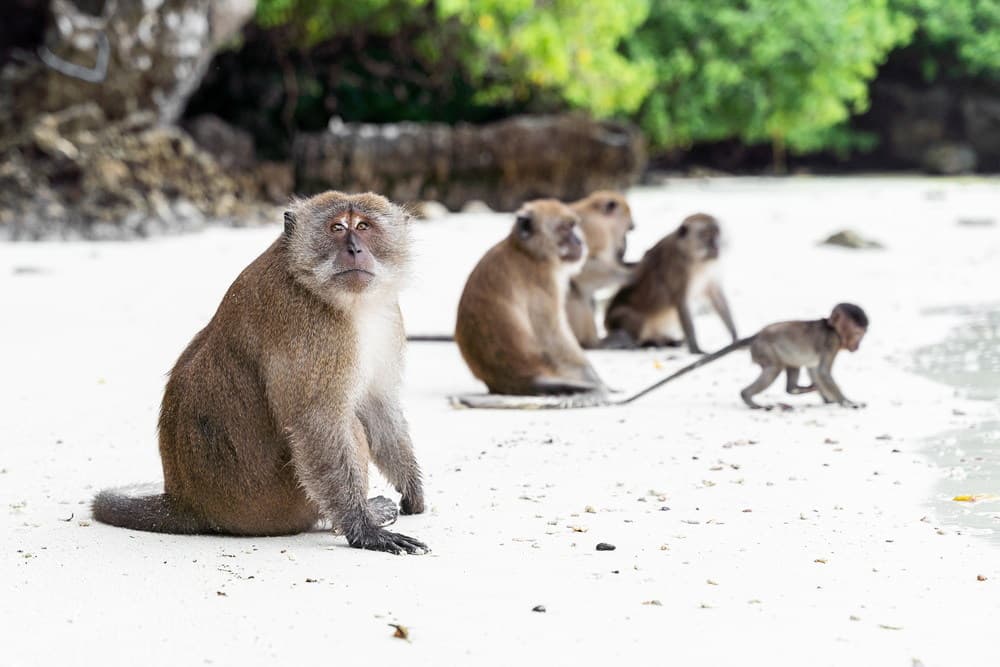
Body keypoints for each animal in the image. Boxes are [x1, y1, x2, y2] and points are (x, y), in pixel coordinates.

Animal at [92, 191, 428, 555]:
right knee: (343, 427)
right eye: (337, 227)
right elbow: (316, 422)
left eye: (363, 226)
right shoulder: (312, 327)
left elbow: (378, 401)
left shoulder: (387, 314)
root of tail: (187, 502)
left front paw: (412, 489)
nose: (354, 249)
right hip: (272, 503)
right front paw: (363, 528)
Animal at [453, 199, 607, 398]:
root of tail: (524, 378)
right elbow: (552, 336)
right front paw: (597, 381)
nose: (579, 241)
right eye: (564, 228)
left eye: (573, 226)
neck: (528, 252)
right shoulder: (544, 281)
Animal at [565, 191, 636, 348]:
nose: (624, 244)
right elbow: (583, 268)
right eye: (628, 227)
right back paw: (595, 343)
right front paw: (628, 274)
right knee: (574, 290)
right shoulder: (596, 230)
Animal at [603, 213, 738, 354]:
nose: (716, 245)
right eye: (705, 234)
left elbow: (717, 296)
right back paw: (643, 343)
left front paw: (735, 338)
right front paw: (695, 348)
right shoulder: (678, 269)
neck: (693, 257)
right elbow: (681, 301)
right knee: (632, 317)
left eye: (716, 232)